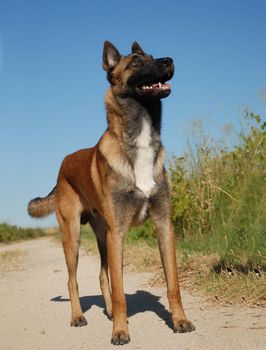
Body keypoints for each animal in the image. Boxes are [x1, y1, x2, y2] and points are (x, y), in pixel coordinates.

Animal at [28, 41, 194, 344]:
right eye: (135, 62)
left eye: (153, 56)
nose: (169, 60)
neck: (139, 139)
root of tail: (61, 168)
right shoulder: (118, 234)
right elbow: (119, 292)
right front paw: (120, 331)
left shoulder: (163, 226)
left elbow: (173, 283)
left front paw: (179, 320)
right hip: (73, 236)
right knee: (72, 280)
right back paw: (78, 316)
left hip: (103, 238)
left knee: (103, 276)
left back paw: (107, 312)